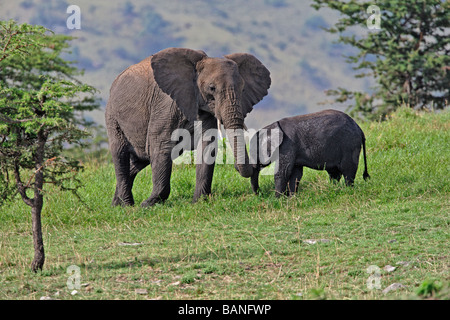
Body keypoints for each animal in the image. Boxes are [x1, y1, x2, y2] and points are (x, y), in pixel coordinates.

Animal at [105, 47, 270, 208]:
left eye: (243, 89)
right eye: (212, 88)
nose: (238, 166)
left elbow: (207, 145)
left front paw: (199, 202)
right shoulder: (165, 104)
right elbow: (161, 144)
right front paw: (148, 204)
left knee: (140, 160)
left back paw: (116, 204)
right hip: (112, 115)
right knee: (120, 153)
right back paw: (127, 206)